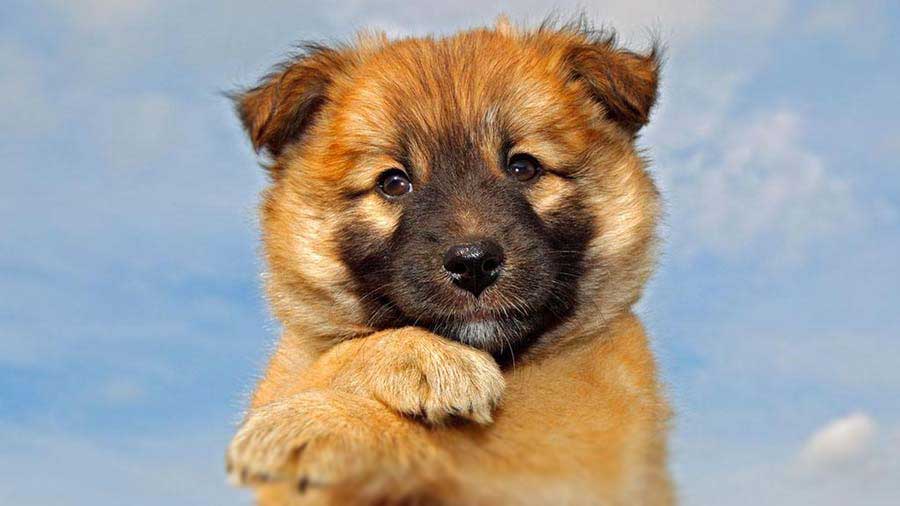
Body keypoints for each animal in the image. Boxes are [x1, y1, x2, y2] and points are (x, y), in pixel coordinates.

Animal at [227, 15, 676, 506]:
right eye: (393, 183)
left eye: (523, 167)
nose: (473, 264)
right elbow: (318, 364)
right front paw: (424, 358)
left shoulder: (571, 439)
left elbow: (453, 447)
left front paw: (320, 426)